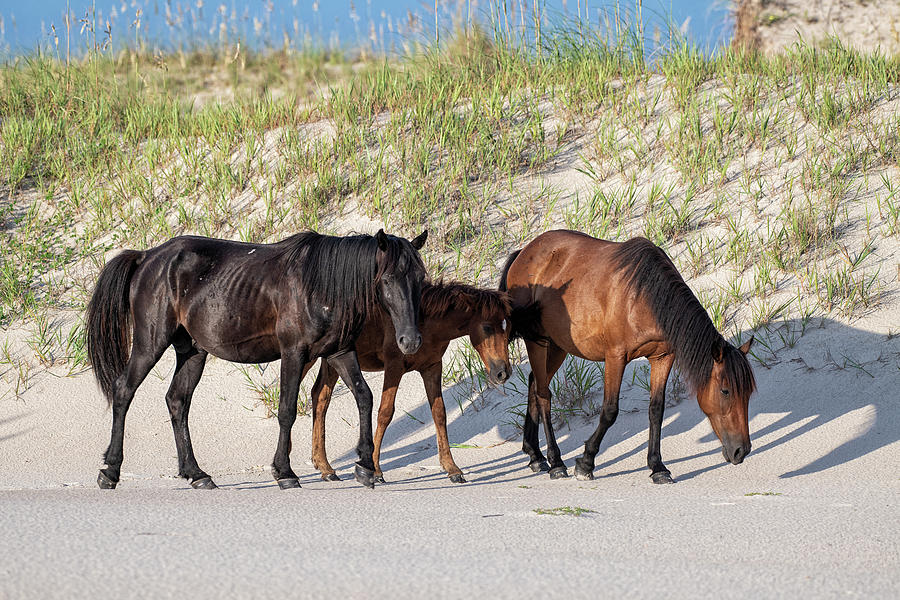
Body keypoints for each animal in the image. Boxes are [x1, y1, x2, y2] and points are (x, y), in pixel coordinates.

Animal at [85, 227, 428, 490]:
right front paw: (284, 472)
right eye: (387, 279)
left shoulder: (340, 352)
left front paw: (366, 466)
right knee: (124, 390)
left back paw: (196, 474)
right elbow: (287, 410)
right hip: (150, 343)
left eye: (419, 280)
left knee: (177, 401)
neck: (322, 286)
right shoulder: (294, 353)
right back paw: (110, 471)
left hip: (193, 351)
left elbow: (364, 397)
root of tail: (147, 257)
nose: (410, 340)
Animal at [500, 230, 752, 482]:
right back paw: (556, 462)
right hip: (537, 341)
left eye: (748, 393)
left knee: (535, 383)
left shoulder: (663, 357)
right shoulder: (615, 357)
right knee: (543, 395)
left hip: (557, 345)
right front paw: (586, 462)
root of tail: (524, 251)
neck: (646, 297)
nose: (742, 450)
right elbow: (610, 411)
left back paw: (535, 455)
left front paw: (657, 466)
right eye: (725, 391)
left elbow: (656, 410)